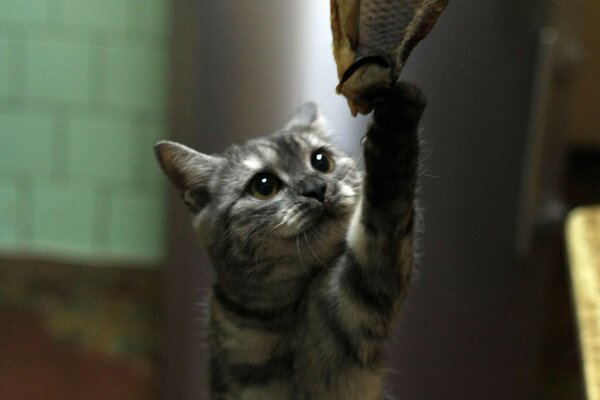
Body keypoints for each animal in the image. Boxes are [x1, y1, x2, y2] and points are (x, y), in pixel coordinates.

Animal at [155, 82, 426, 400]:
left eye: (321, 161)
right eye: (263, 186)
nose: (316, 188)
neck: (285, 310)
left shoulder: (362, 294)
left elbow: (387, 203)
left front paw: (395, 116)